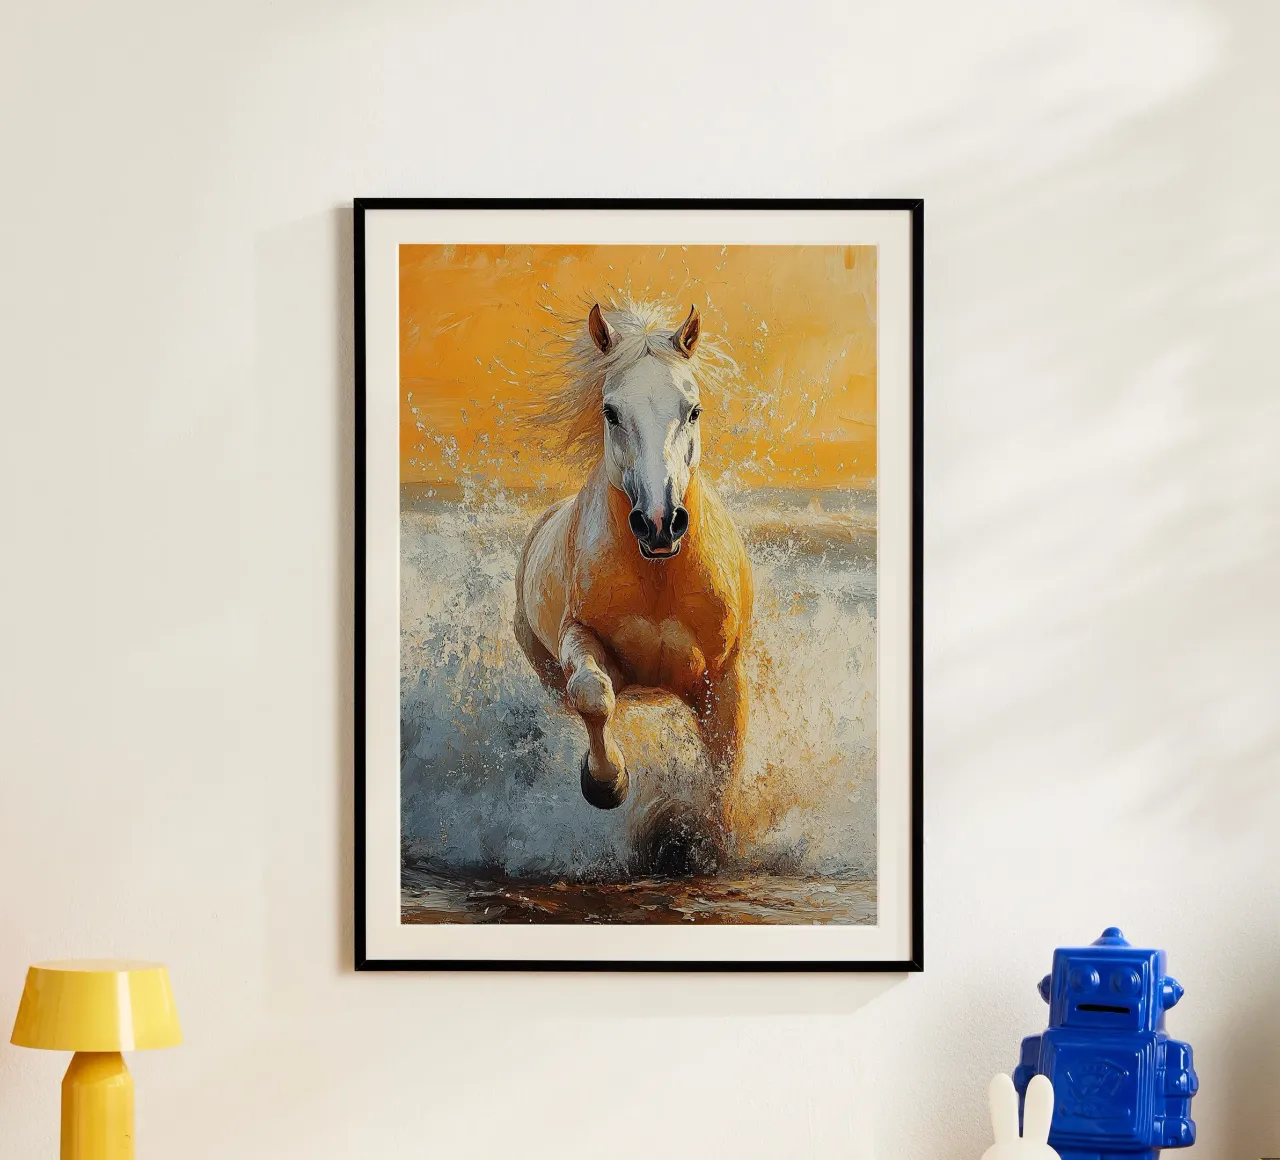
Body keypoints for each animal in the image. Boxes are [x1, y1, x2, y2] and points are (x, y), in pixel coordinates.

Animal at [513, 300, 754, 842]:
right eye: (611, 411)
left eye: (693, 410)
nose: (660, 521)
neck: (659, 580)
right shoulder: (580, 637)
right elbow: (593, 695)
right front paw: (607, 783)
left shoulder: (722, 679)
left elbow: (724, 770)